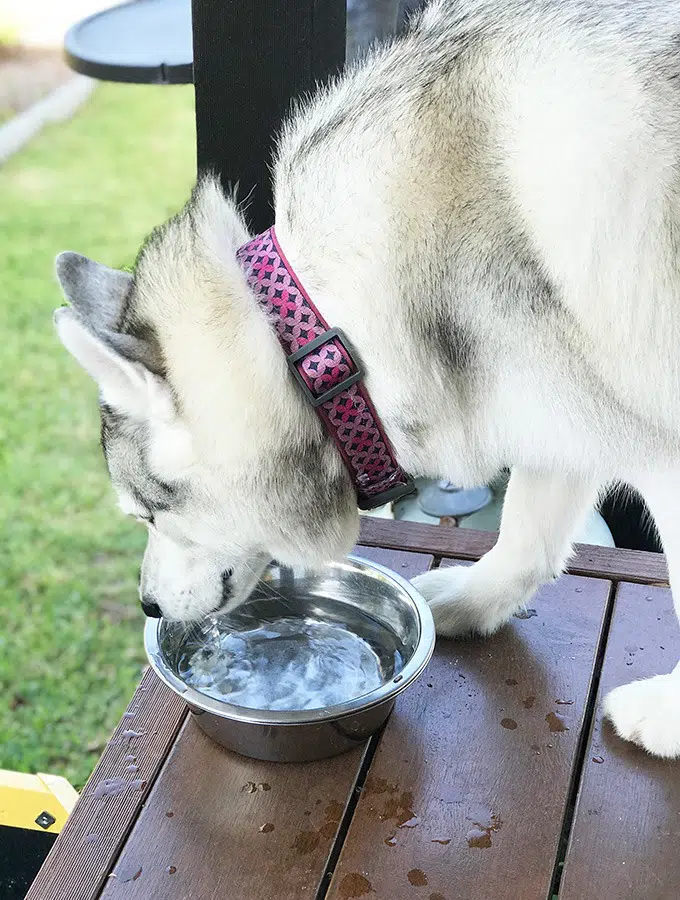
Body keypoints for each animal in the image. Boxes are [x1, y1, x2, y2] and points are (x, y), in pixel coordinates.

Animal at [54, 0, 680, 756]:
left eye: (148, 512)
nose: (145, 603)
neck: (331, 335)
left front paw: (668, 715)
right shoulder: (557, 402)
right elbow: (528, 527)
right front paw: (480, 599)